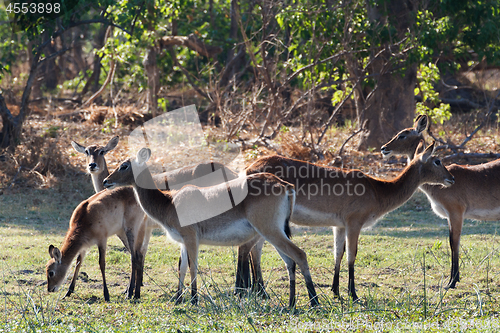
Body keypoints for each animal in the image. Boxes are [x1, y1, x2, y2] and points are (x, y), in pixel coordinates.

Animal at [103, 148, 318, 306]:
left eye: (124, 165)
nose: (106, 181)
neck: (169, 202)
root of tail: (284, 185)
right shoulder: (183, 242)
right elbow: (182, 267)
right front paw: (178, 299)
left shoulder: (191, 238)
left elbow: (193, 267)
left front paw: (193, 299)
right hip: (272, 233)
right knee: (289, 262)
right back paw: (291, 304)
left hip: (271, 231)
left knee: (300, 255)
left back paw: (314, 302)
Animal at [243, 140, 458, 298]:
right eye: (437, 161)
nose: (452, 179)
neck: (378, 190)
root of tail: (249, 168)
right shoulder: (354, 223)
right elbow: (352, 255)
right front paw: (353, 294)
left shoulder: (339, 226)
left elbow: (338, 253)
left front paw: (336, 290)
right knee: (254, 249)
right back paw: (258, 291)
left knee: (254, 249)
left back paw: (258, 291)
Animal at [380, 115, 498, 288]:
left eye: (402, 135)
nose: (384, 148)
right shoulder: (449, 216)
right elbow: (451, 242)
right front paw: (453, 279)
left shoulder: (456, 213)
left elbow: (454, 242)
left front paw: (452, 281)